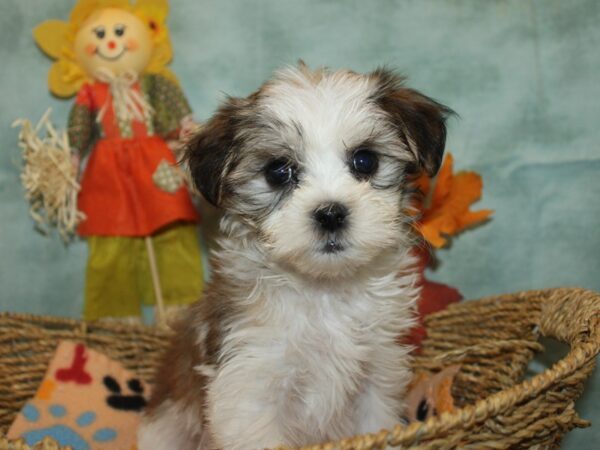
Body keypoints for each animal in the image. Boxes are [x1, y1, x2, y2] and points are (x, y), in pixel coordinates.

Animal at [138, 63, 452, 450]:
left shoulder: (376, 378)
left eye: (365, 161)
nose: (330, 213)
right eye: (278, 171)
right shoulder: (249, 382)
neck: (324, 289)